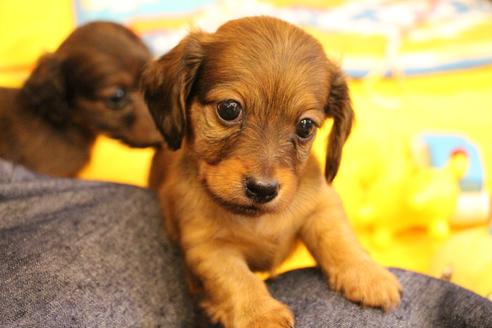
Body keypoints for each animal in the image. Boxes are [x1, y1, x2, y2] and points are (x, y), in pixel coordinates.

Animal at [141, 16, 400, 328]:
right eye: (229, 109)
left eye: (305, 126)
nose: (262, 189)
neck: (257, 219)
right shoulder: (207, 247)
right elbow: (236, 279)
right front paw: (260, 315)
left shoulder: (321, 204)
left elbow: (338, 236)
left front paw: (367, 274)